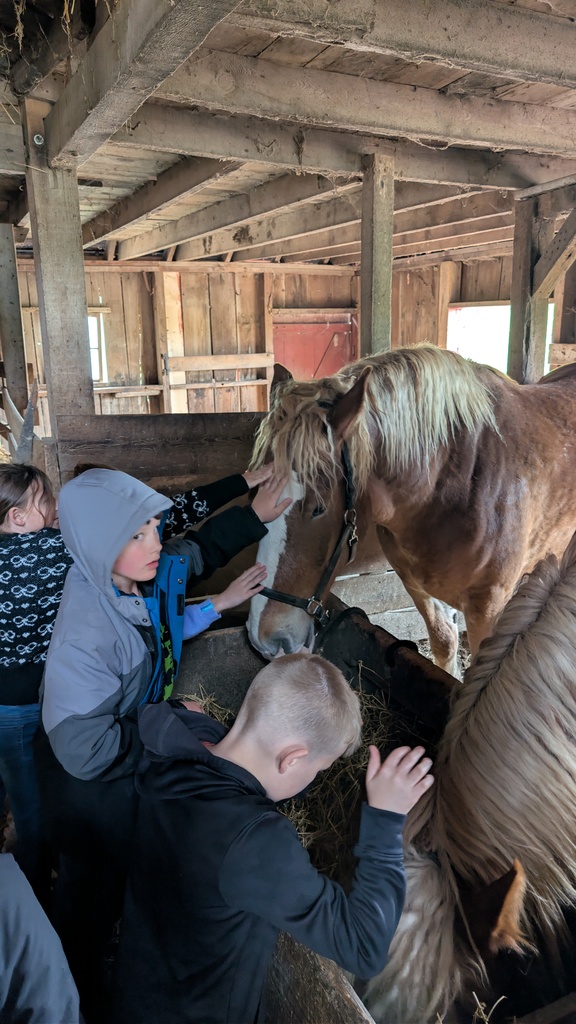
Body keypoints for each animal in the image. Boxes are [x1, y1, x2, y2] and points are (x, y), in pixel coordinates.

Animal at [247, 346, 576, 676]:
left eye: (318, 509)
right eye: (254, 494)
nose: (264, 640)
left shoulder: (489, 608)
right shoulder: (418, 588)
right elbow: (444, 645)